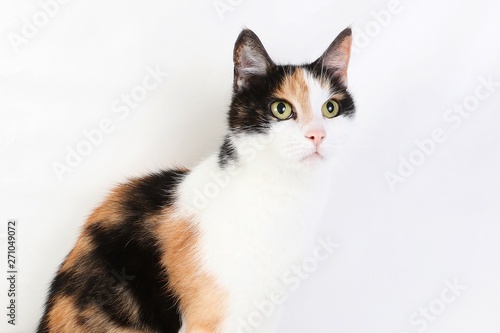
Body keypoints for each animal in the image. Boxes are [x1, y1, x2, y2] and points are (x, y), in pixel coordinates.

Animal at [37, 26, 356, 332]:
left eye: (330, 108)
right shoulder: (210, 318)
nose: (317, 135)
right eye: (281, 109)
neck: (285, 196)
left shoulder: (267, 311)